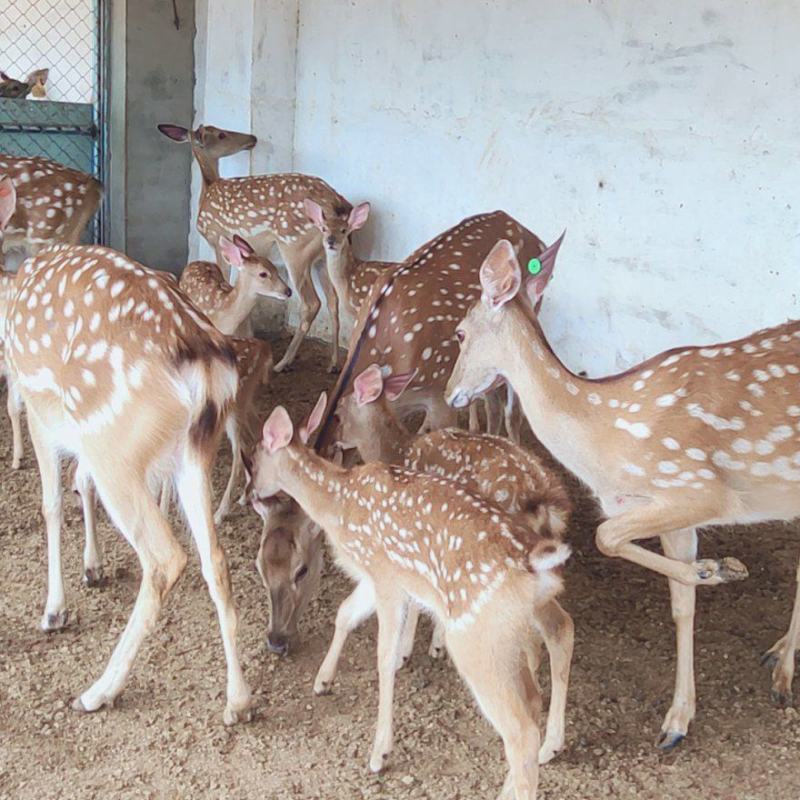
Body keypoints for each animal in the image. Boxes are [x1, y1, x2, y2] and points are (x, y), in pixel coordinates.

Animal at [1, 241, 251, 724]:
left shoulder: (43, 411)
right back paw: (238, 701)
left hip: (112, 444)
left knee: (165, 558)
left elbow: (52, 503)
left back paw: (98, 691)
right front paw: (92, 567)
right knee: (215, 558)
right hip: (192, 453)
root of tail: (205, 364)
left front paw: (54, 611)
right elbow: (79, 485)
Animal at [158, 122, 357, 372]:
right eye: (221, 134)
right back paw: (333, 363)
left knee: (311, 303)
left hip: (294, 246)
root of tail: (339, 203)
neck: (207, 190)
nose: (252, 139)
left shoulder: (217, 238)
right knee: (333, 300)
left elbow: (225, 280)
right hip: (324, 255)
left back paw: (283, 363)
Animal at [247, 392, 572, 799]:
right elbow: (345, 613)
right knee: (538, 683)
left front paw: (379, 753)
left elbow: (383, 657)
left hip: (477, 641)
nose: (249, 494)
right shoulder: (377, 577)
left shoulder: (386, 576)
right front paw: (322, 680)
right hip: (508, 634)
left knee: (521, 727)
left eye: (254, 459)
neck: (338, 503)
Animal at [440, 234, 800, 751]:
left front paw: (719, 569)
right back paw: (778, 653)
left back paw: (783, 672)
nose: (449, 392)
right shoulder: (675, 514)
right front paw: (676, 721)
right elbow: (680, 605)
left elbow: (604, 537)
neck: (603, 433)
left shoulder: (696, 487)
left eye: (460, 333)